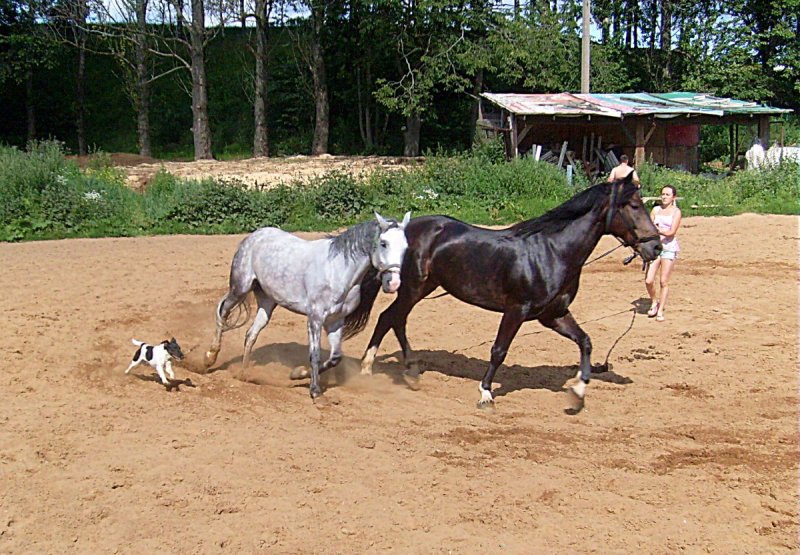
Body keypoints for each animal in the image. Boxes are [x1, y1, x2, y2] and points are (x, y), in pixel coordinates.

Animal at [206, 212, 410, 400]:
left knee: (251, 334)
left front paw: (298, 374)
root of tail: (255, 235)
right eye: (383, 243)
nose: (393, 283)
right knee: (223, 312)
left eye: (405, 247)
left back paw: (243, 374)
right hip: (240, 288)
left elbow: (335, 358)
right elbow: (315, 354)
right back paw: (210, 357)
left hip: (267, 302)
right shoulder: (315, 318)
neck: (337, 271)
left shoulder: (336, 321)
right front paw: (314, 390)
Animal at [360, 175, 660, 412]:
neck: (552, 251)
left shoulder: (554, 315)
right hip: (412, 287)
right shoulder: (517, 309)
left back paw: (409, 369)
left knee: (395, 319)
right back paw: (369, 368)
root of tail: (401, 231)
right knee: (388, 318)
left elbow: (585, 341)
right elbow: (499, 350)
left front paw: (578, 392)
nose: (656, 246)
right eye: (634, 205)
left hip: (424, 287)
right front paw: (485, 394)